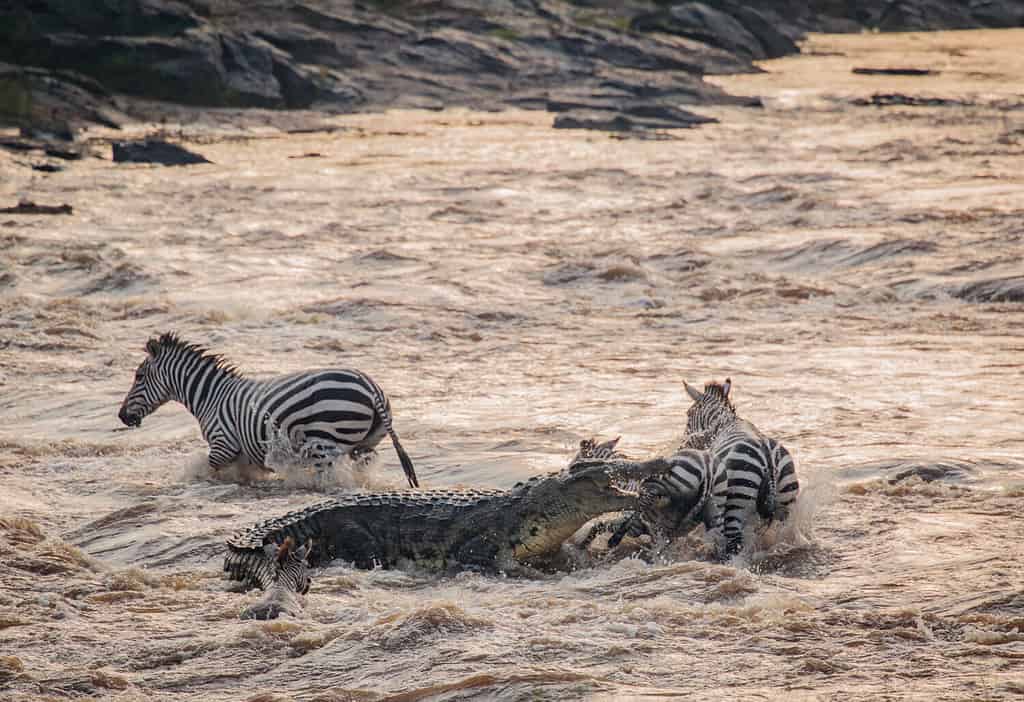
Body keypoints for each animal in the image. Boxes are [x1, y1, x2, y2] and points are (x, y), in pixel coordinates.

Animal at [118, 333, 419, 489]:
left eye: (138, 376)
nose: (122, 416)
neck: (210, 396)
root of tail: (369, 386)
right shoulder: (245, 457)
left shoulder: (222, 444)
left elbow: (206, 470)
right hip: (365, 446)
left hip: (325, 443)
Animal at [684, 378, 794, 556]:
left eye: (688, 414)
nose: (684, 445)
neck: (723, 423)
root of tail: (768, 457)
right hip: (785, 503)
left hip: (736, 502)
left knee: (734, 545)